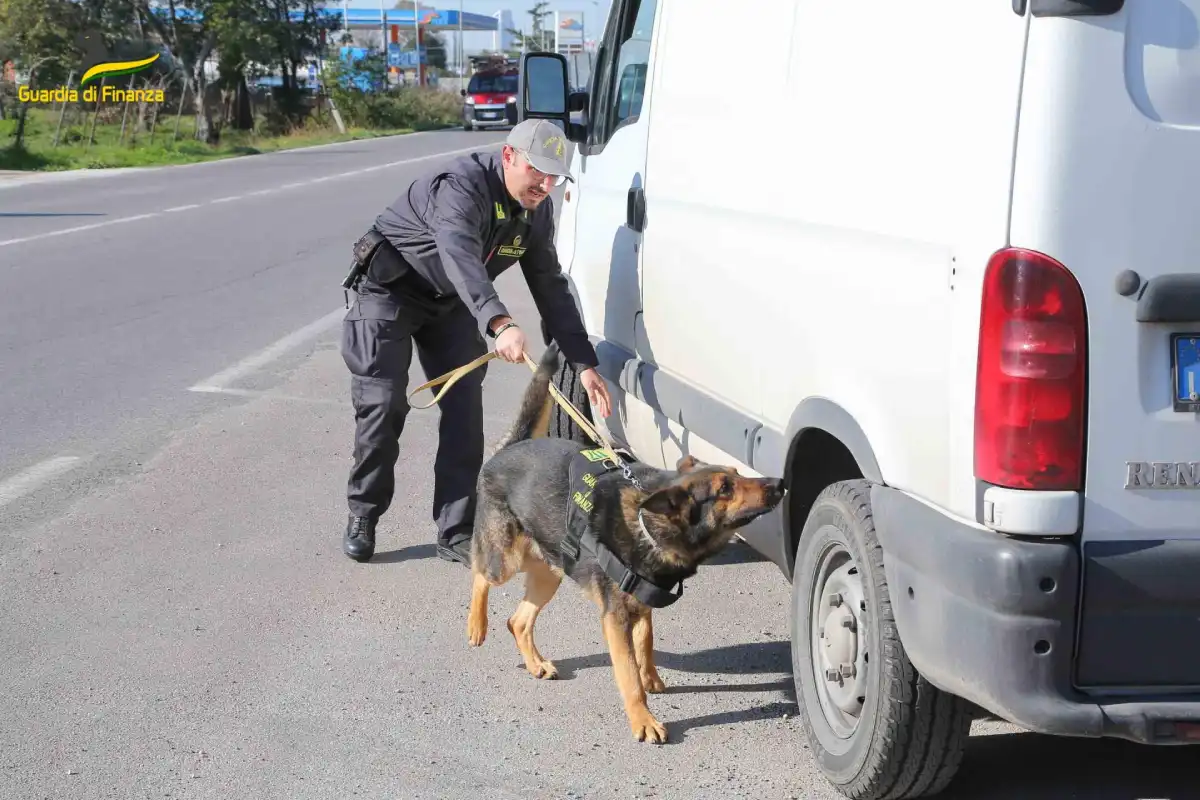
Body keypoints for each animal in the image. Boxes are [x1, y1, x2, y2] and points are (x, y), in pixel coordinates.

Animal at [463, 345, 782, 743]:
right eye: (725, 489)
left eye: (738, 475)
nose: (779, 483)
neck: (649, 524)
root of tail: (511, 446)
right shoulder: (614, 618)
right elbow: (629, 673)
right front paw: (642, 718)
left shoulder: (641, 605)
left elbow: (645, 643)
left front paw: (652, 677)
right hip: (505, 558)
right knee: (479, 573)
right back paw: (476, 624)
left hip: (550, 573)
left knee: (518, 621)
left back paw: (535, 663)